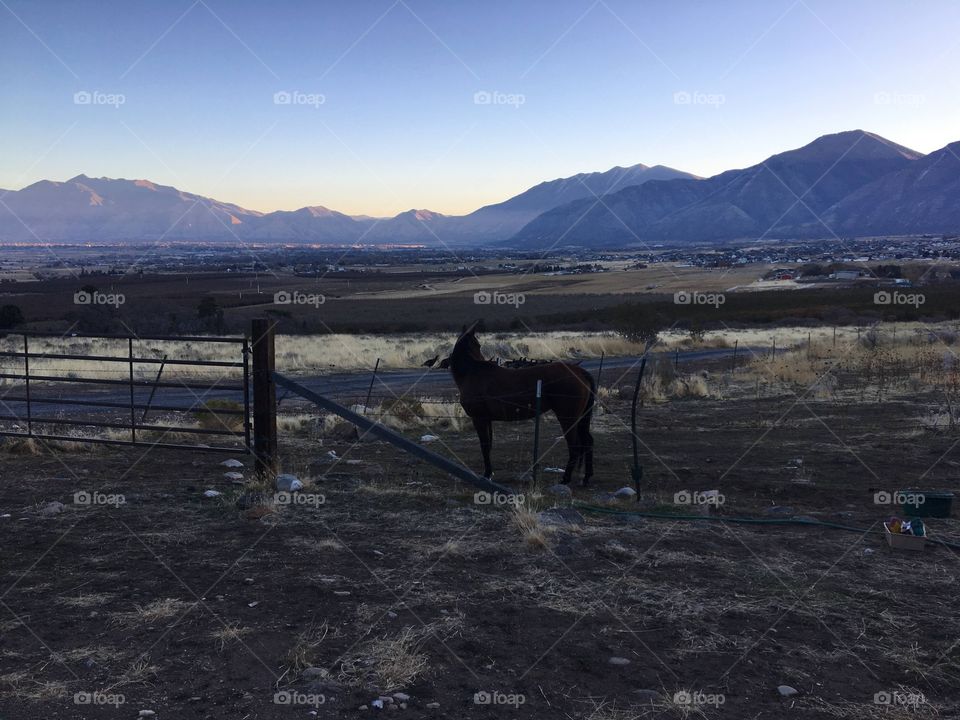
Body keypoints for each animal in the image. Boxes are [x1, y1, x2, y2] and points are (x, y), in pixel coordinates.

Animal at [443, 323, 596, 485]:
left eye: (478, 345)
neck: (472, 373)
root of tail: (580, 372)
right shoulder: (487, 419)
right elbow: (489, 445)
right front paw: (490, 473)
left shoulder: (479, 419)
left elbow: (484, 446)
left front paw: (486, 474)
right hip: (581, 418)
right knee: (587, 442)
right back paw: (586, 478)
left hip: (568, 418)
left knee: (575, 445)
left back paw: (565, 479)